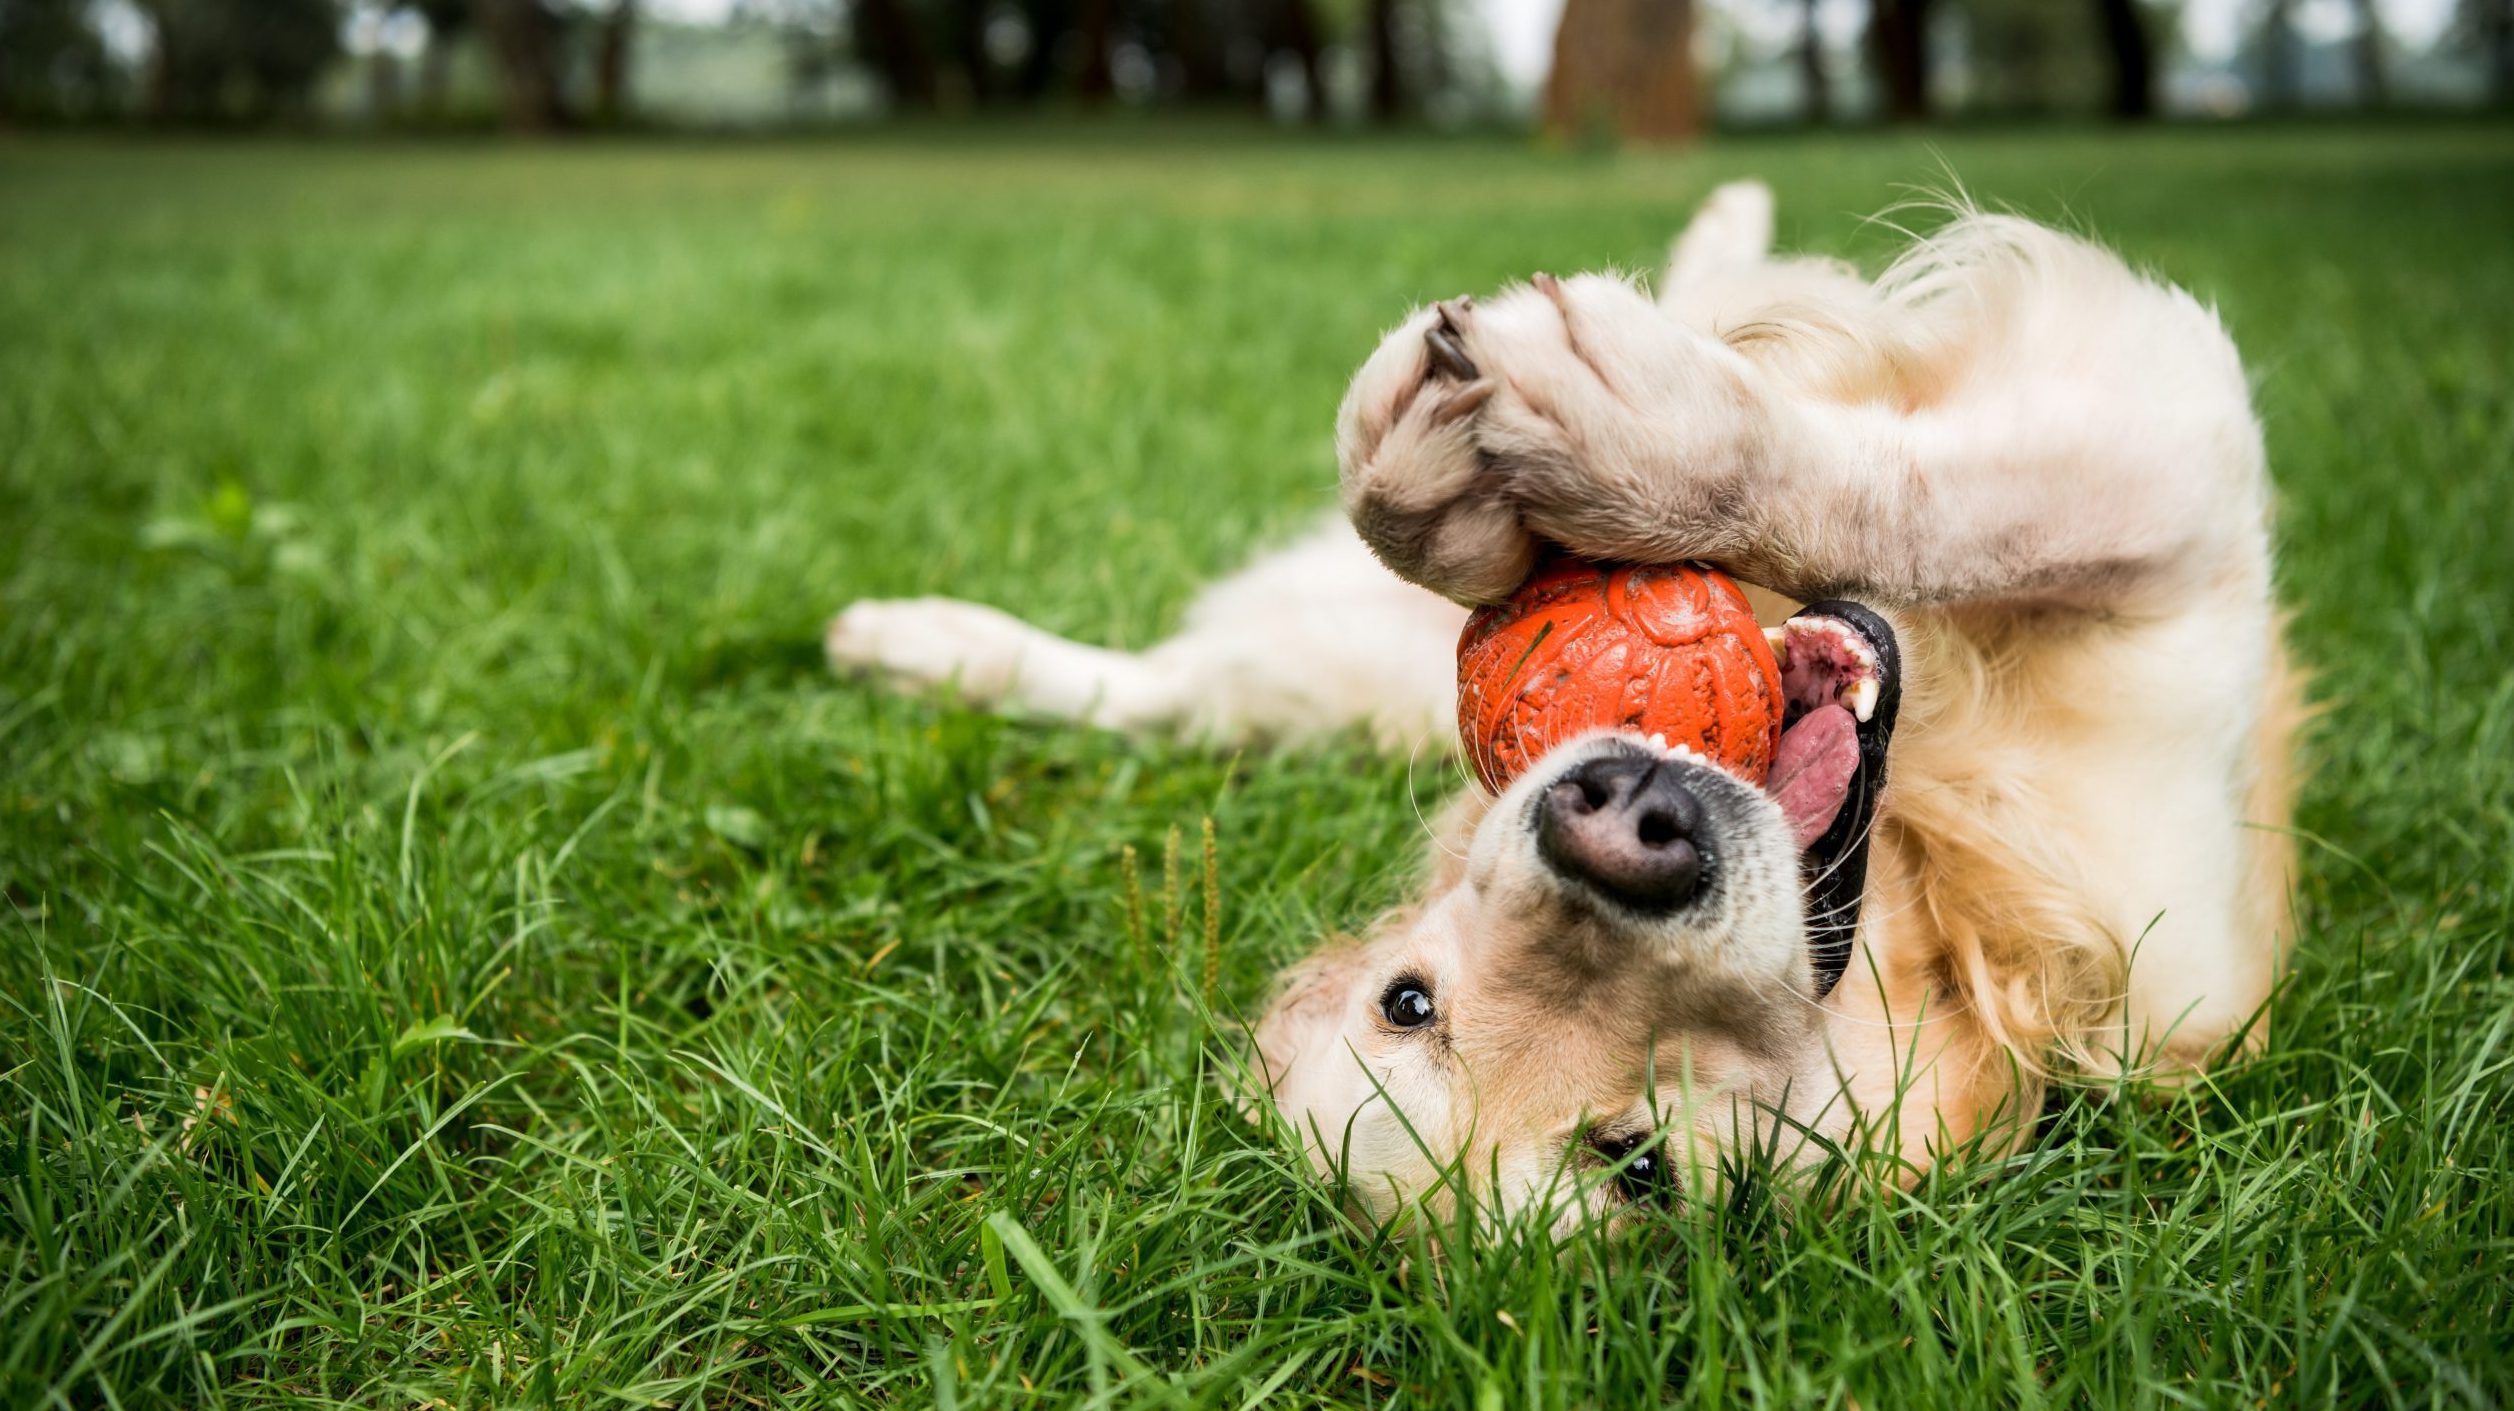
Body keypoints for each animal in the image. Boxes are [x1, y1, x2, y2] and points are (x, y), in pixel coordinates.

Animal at [829, 181, 2302, 1227]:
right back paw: (914, 646)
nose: (1622, 821)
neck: (1927, 887)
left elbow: (1928, 494)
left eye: (1403, 1000)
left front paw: (1601, 445)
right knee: (1171, 690)